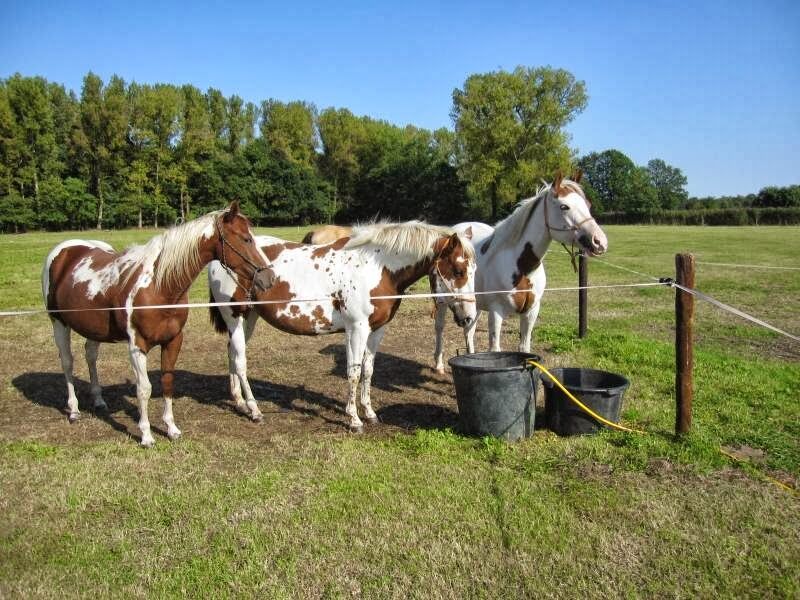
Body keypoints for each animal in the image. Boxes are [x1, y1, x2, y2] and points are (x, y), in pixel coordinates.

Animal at [42, 202, 274, 446]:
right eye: (246, 239)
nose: (269, 278)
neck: (160, 286)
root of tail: (65, 249)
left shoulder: (173, 340)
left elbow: (167, 382)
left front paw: (171, 428)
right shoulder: (137, 346)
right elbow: (144, 389)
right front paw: (146, 435)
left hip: (94, 330)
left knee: (90, 355)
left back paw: (98, 401)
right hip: (58, 323)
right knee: (67, 362)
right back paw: (74, 410)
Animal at [209, 220, 478, 432]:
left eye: (473, 269)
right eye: (458, 270)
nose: (469, 318)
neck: (377, 267)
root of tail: (218, 258)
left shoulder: (376, 330)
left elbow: (368, 370)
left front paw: (369, 413)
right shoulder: (357, 329)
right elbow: (354, 372)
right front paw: (354, 420)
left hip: (249, 319)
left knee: (232, 353)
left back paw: (239, 402)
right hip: (235, 317)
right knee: (240, 361)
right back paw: (254, 410)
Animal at [434, 171, 608, 372]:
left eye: (588, 205)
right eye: (564, 206)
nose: (600, 242)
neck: (522, 268)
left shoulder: (531, 312)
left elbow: (525, 348)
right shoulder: (496, 312)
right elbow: (495, 349)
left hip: (472, 305)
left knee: (468, 331)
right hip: (443, 301)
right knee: (439, 328)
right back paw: (438, 364)